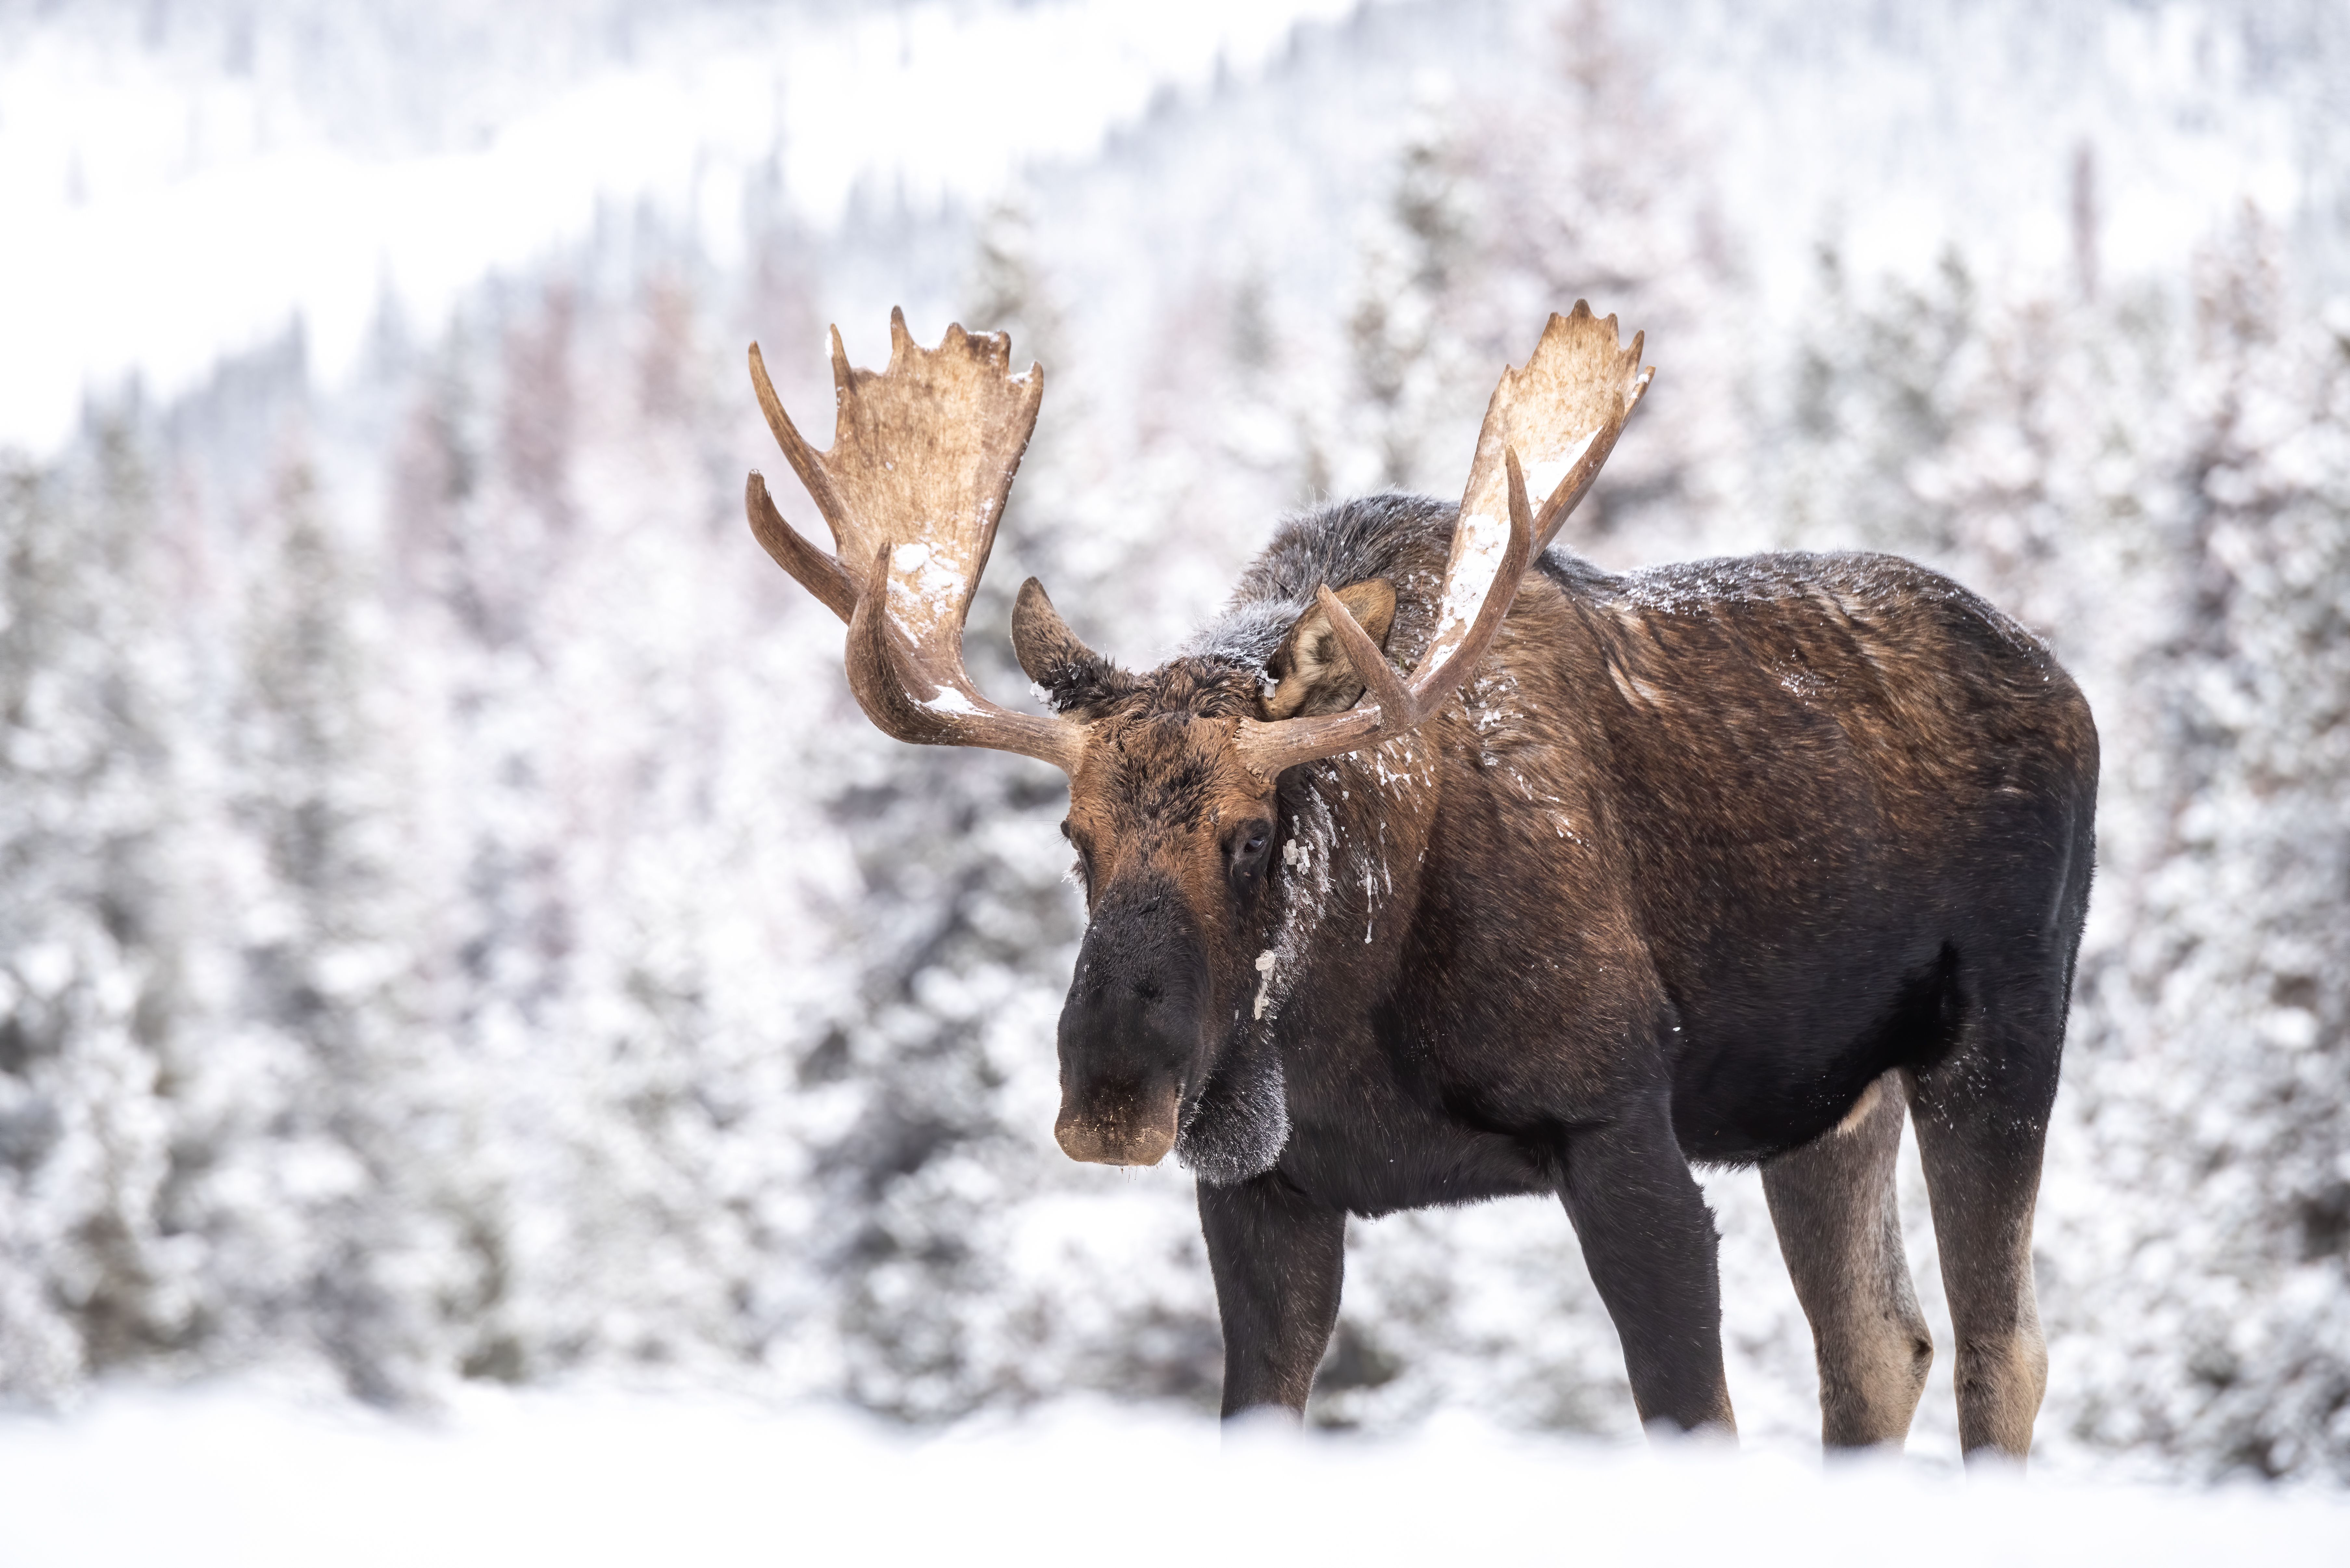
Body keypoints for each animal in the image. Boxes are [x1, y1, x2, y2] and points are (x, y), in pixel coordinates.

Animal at [742, 303, 2105, 1457]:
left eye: (1251, 833)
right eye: (1075, 835)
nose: (1114, 1093)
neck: (1353, 1009)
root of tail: (2071, 689)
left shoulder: (1619, 1124)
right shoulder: (1265, 1192)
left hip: (1999, 1034)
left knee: (1999, 1351)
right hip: (1822, 1106)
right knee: (1878, 1348)